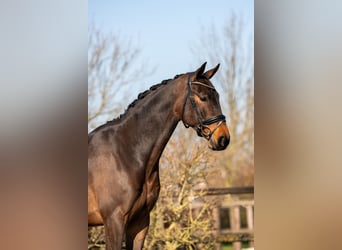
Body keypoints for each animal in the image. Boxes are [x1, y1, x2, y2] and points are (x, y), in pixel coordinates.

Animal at [88, 62, 230, 248]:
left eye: (217, 97)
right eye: (203, 97)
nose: (223, 138)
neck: (124, 152)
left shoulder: (140, 223)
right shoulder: (114, 221)